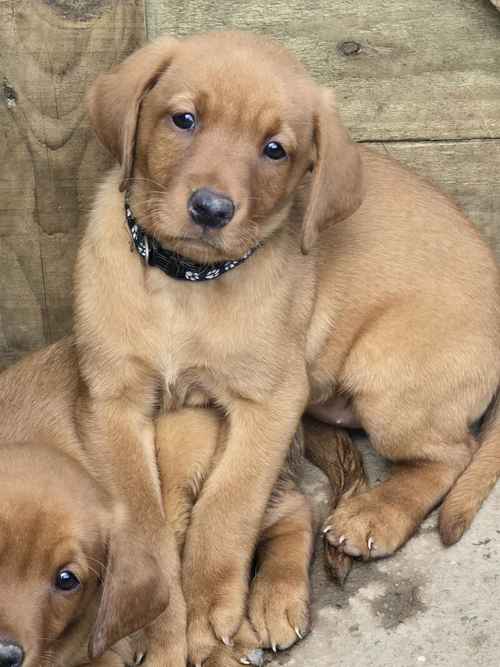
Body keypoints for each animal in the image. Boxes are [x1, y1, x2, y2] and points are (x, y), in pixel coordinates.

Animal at [77, 32, 500, 667]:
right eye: (183, 119)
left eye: (275, 150)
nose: (211, 209)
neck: (186, 284)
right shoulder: (114, 398)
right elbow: (143, 517)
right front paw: (158, 615)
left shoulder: (268, 402)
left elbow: (227, 505)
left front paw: (207, 610)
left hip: (386, 376)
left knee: (454, 452)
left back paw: (376, 514)